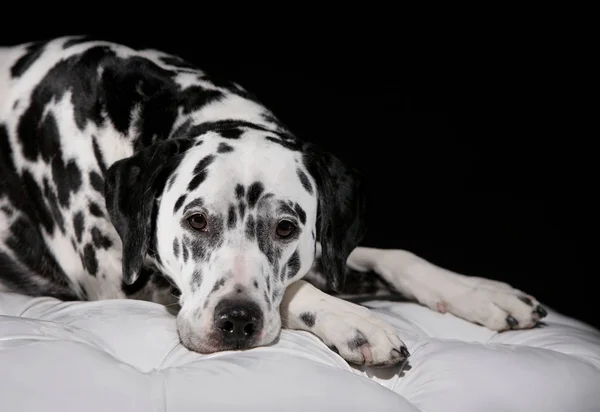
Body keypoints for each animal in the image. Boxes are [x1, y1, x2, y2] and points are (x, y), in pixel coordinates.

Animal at [0, 37, 548, 366]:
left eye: (286, 227)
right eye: (196, 220)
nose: (237, 322)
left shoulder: (330, 246)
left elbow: (392, 256)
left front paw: (481, 292)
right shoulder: (121, 282)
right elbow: (294, 291)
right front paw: (355, 322)